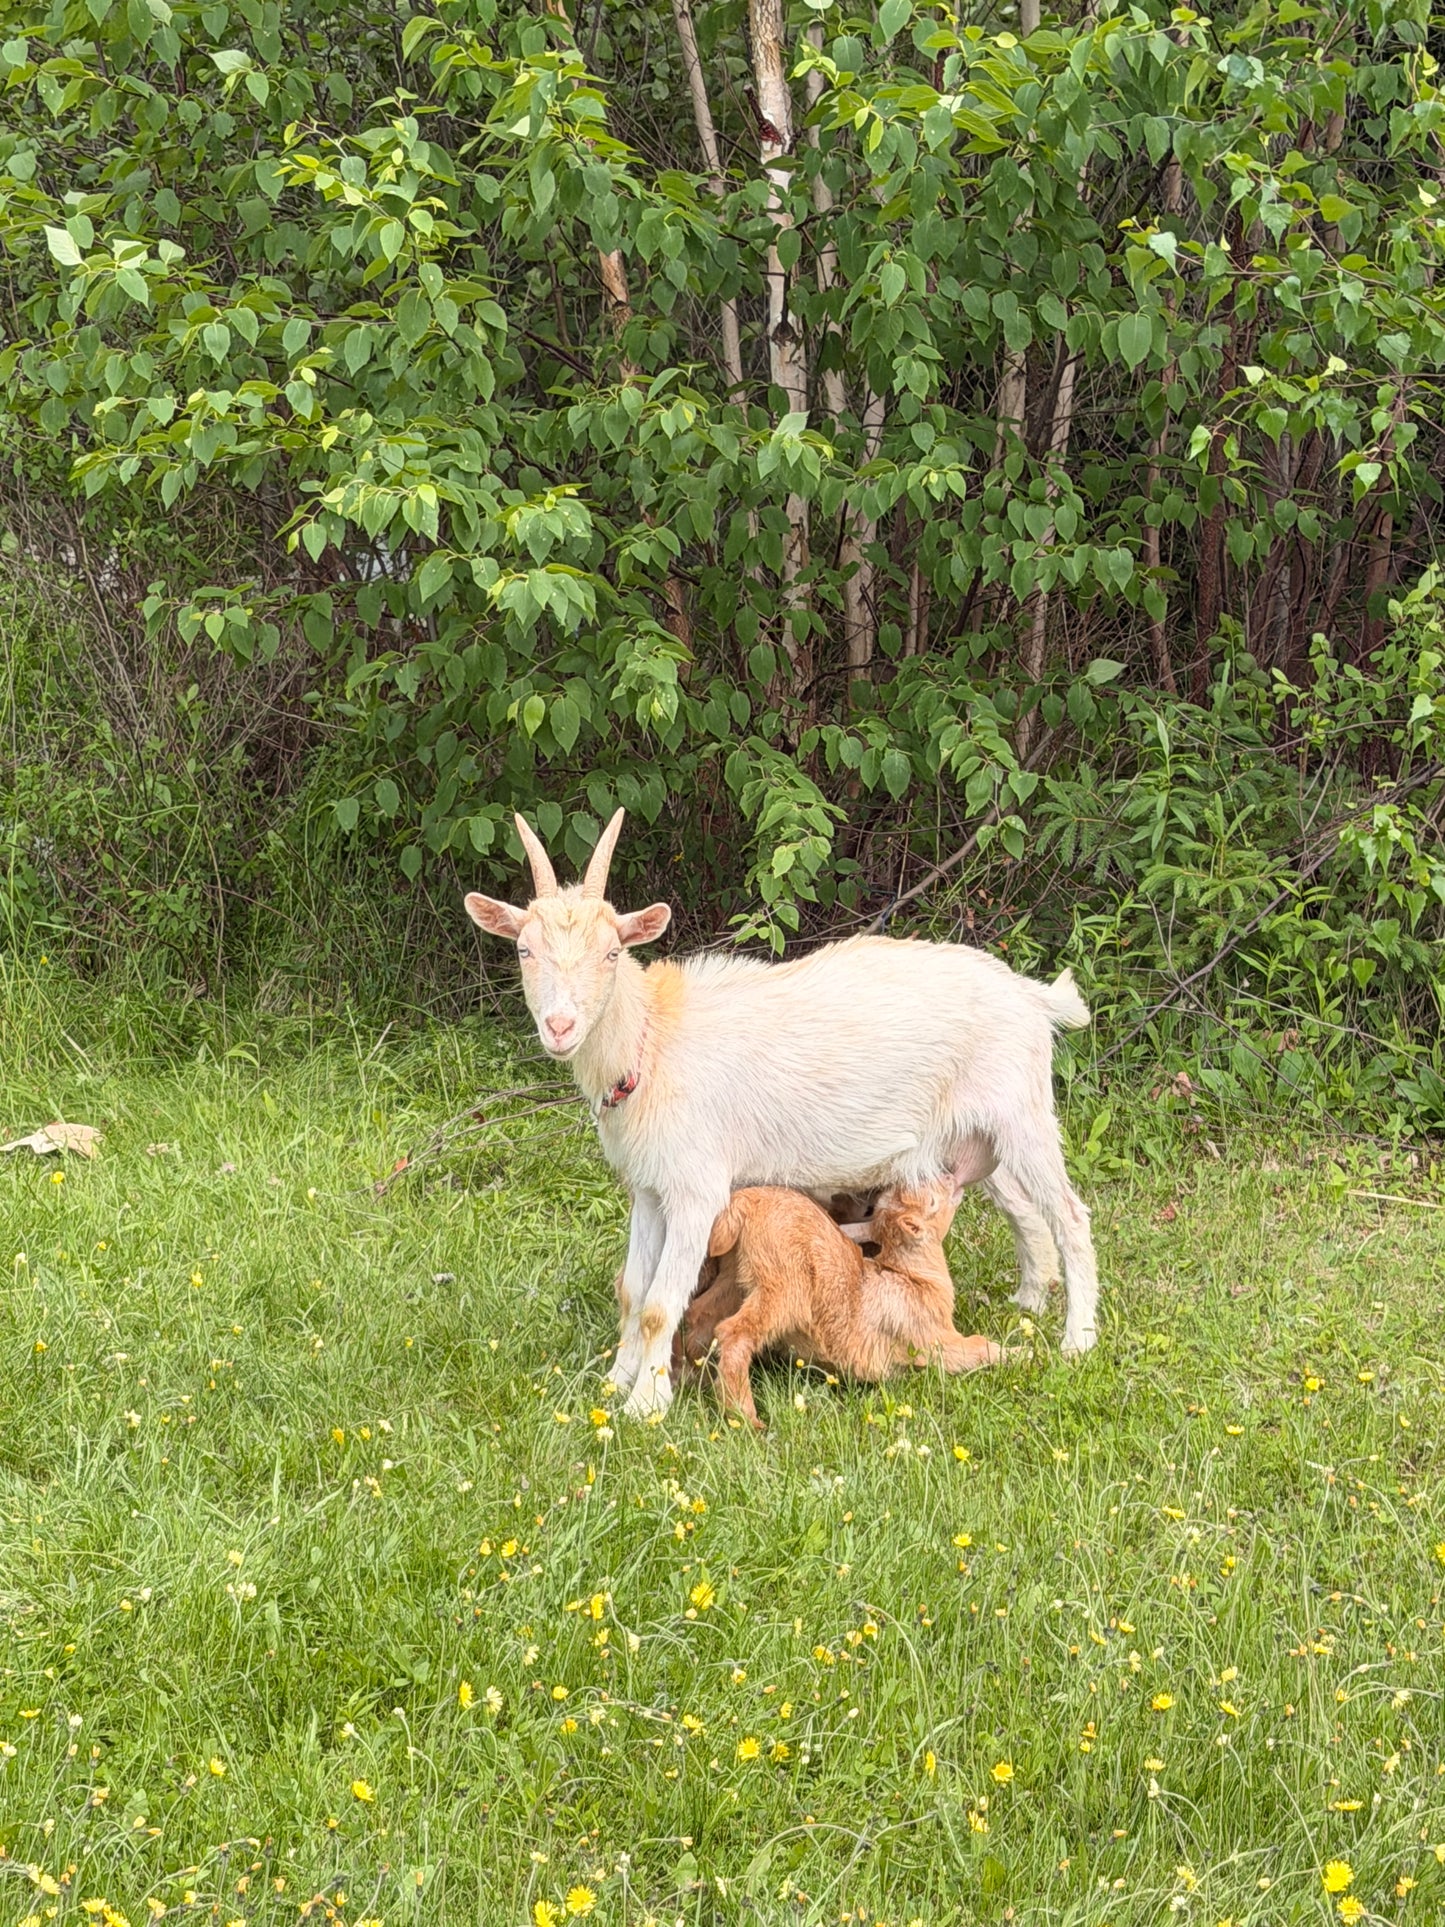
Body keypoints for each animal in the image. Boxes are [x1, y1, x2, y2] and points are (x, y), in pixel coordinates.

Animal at [681, 1180, 1001, 1426]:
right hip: (783, 1284)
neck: (911, 1277)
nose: (951, 1179)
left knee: (701, 1314)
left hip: (734, 1274)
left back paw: (696, 1380)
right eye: (932, 1200)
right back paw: (745, 1418)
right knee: (734, 1333)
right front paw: (1013, 1354)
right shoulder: (930, 1340)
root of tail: (746, 1201)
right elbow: (978, 1347)